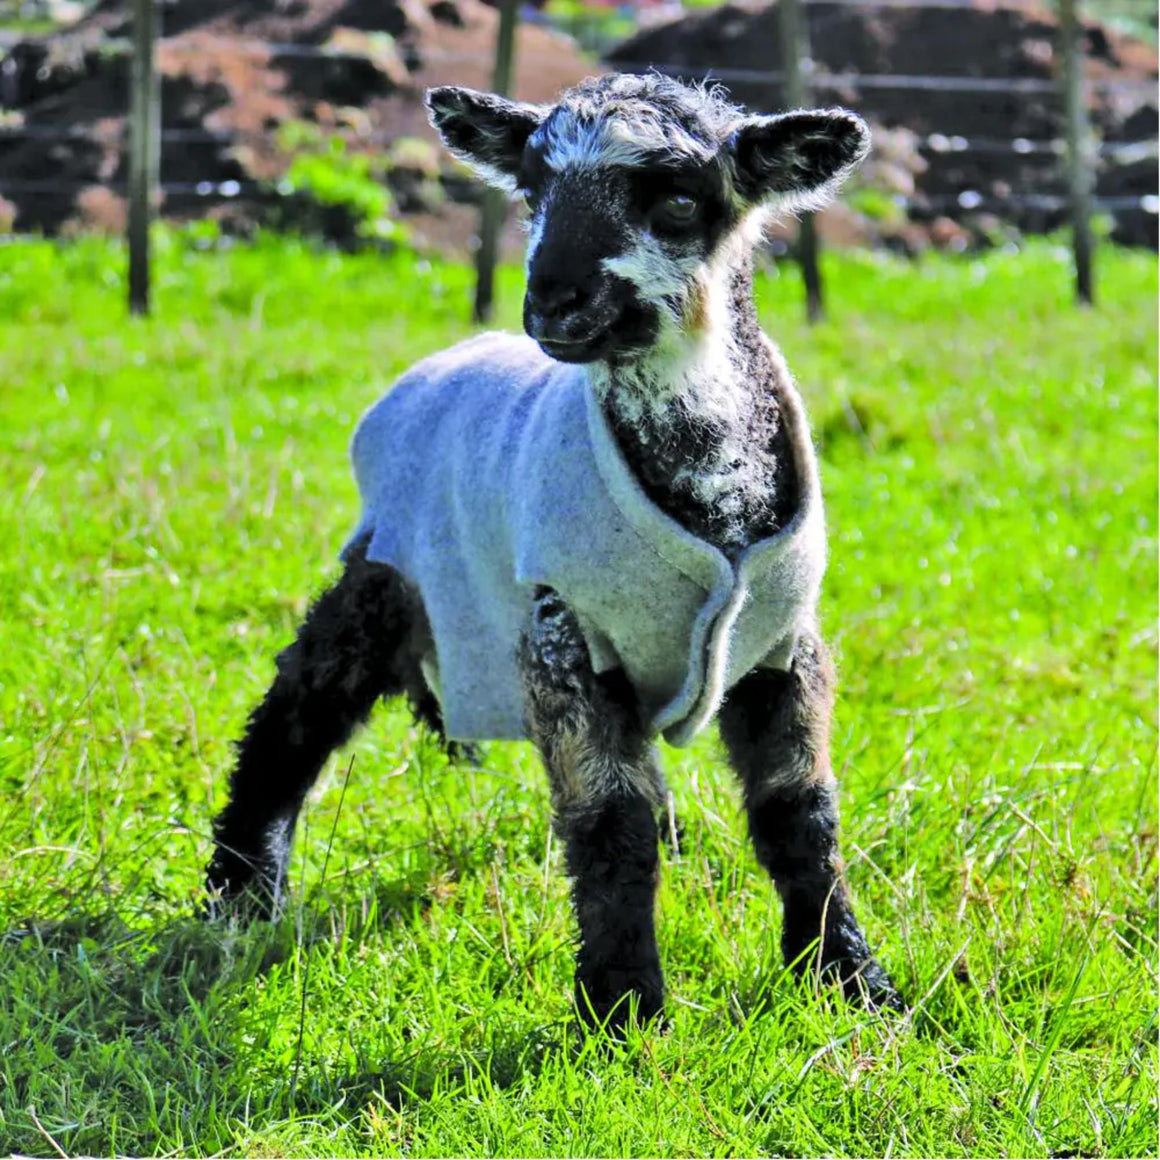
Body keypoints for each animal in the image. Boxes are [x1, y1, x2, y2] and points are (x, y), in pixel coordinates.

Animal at [205, 73, 901, 1030]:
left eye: (679, 200)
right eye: (533, 193)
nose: (555, 301)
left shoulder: (778, 641)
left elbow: (800, 812)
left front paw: (849, 978)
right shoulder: (563, 634)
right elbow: (609, 824)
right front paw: (624, 1007)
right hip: (389, 561)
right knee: (297, 707)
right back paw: (243, 891)